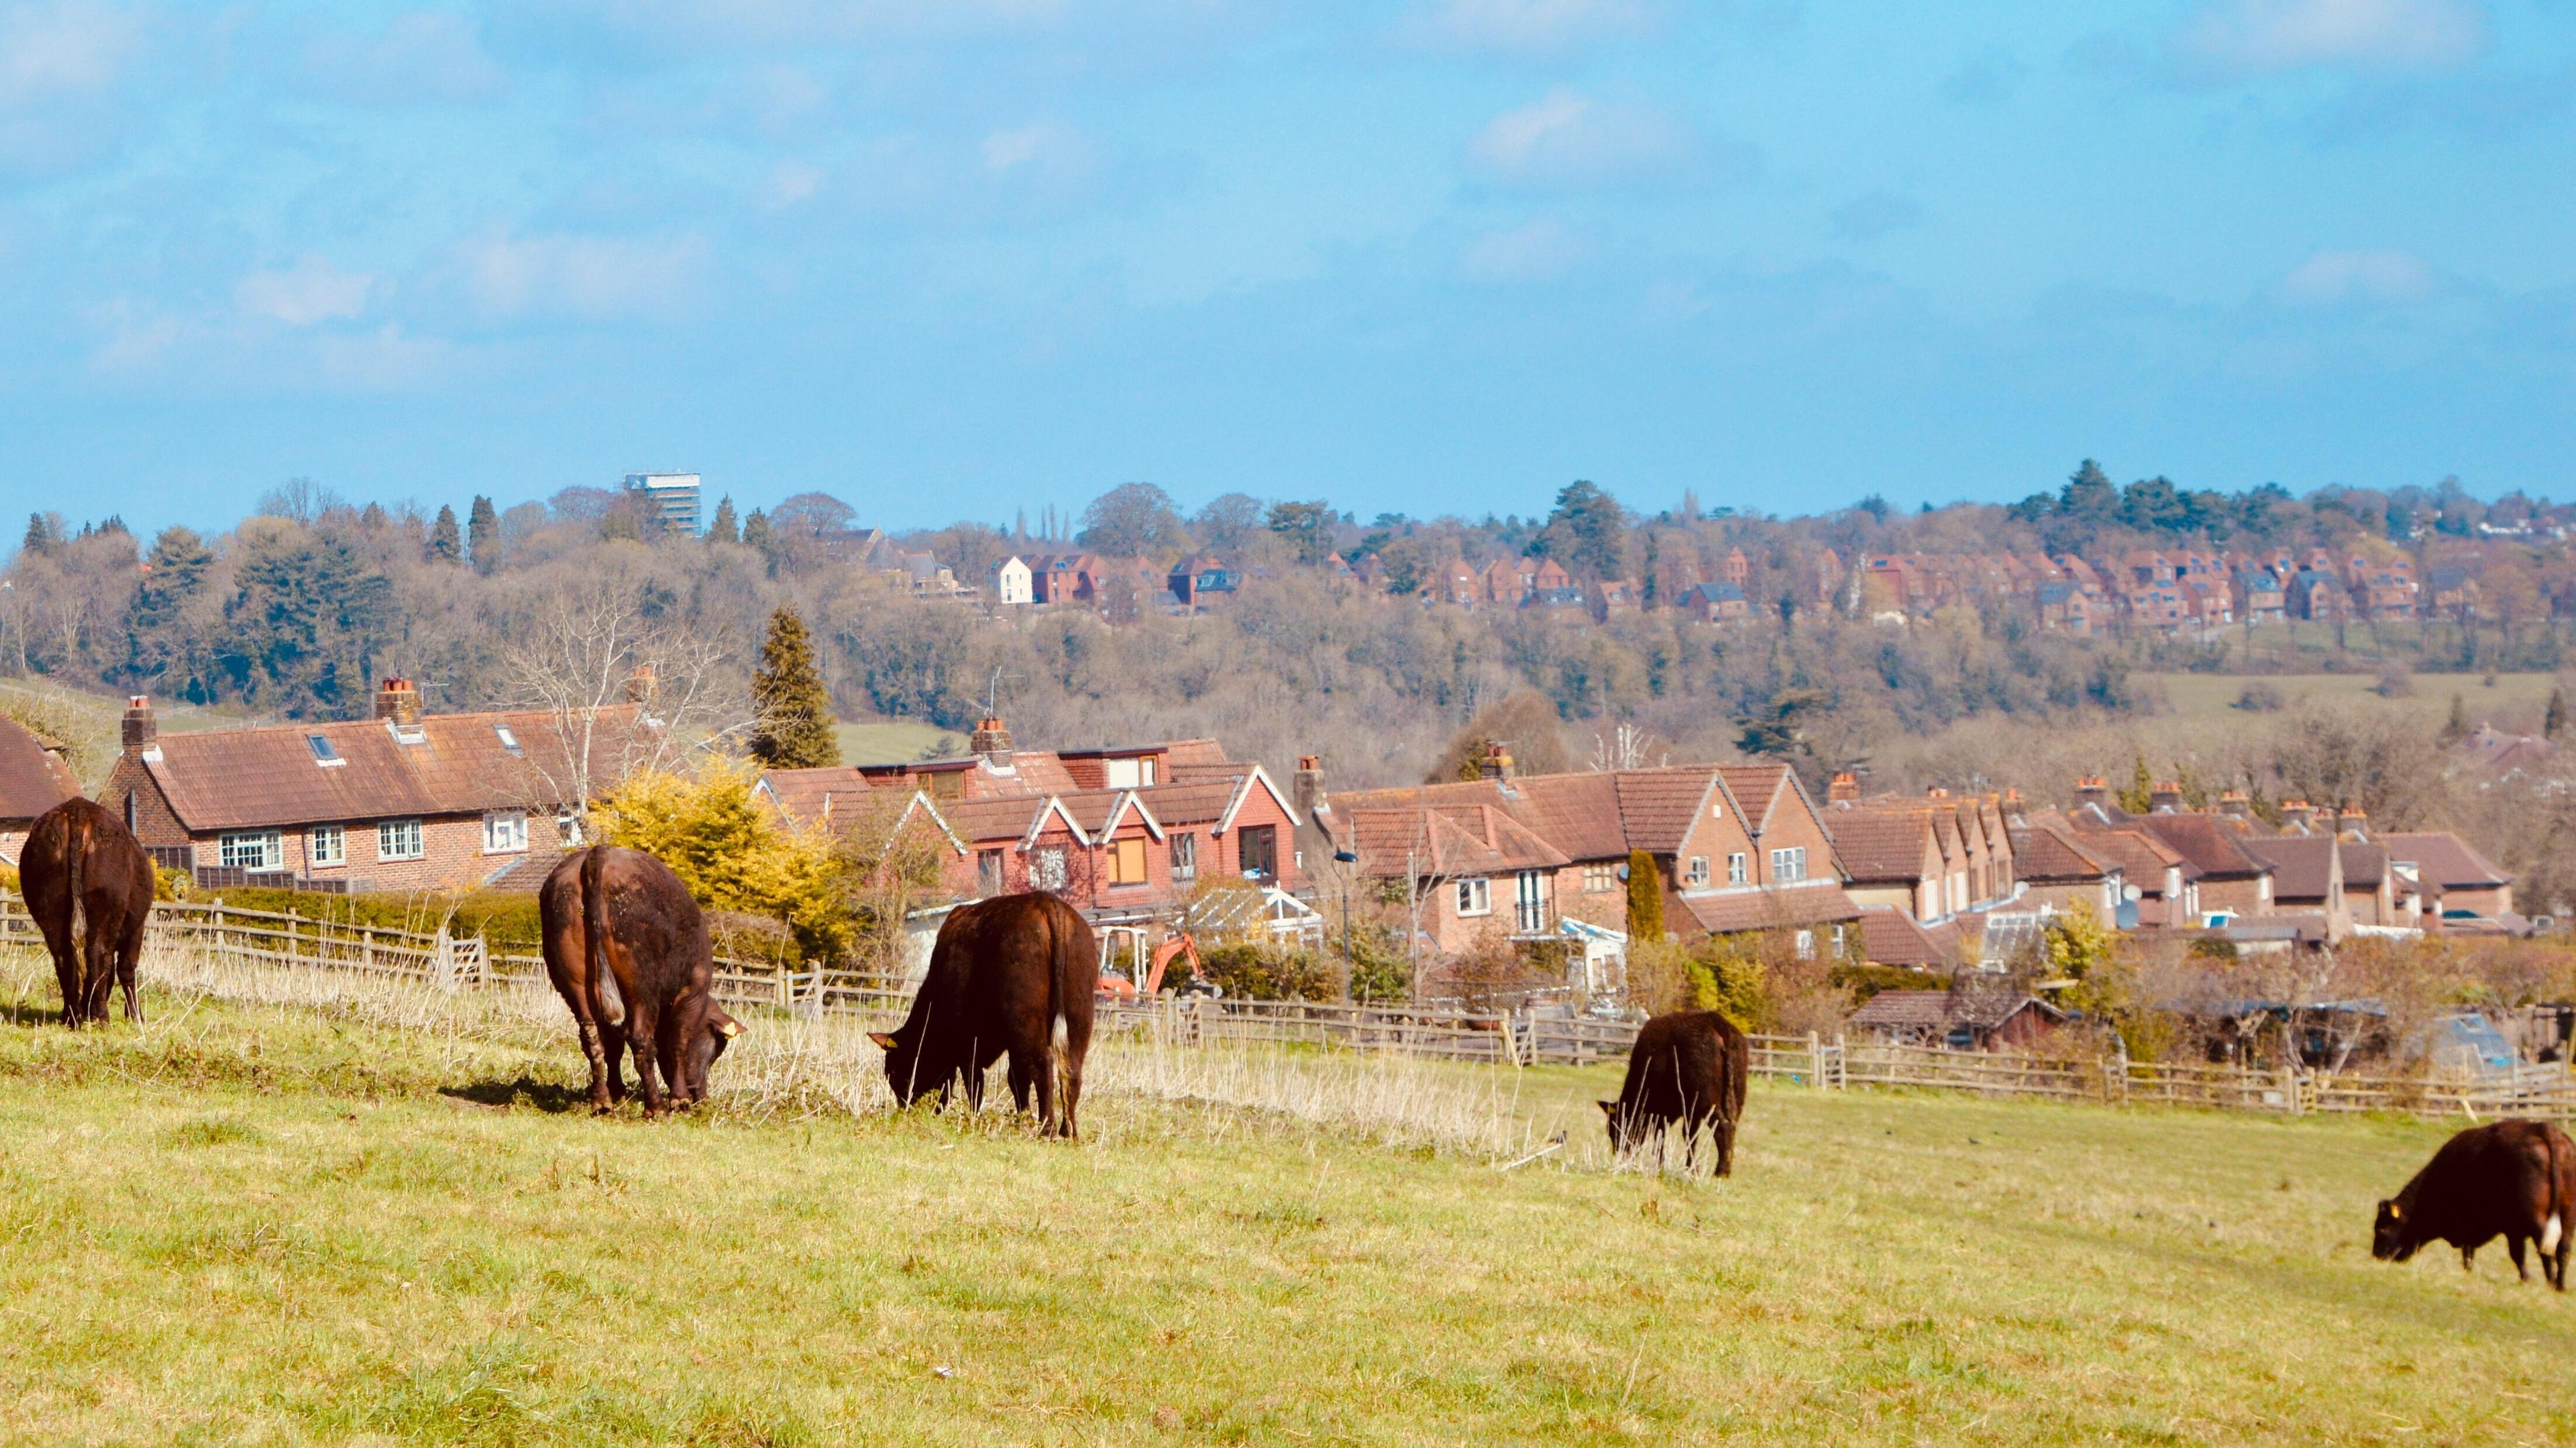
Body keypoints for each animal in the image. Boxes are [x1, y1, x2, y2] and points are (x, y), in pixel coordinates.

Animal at [17, 788, 156, 1025]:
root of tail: (77, 811)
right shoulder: (137, 928)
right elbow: (126, 969)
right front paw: (136, 1016)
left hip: (50, 911)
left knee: (63, 959)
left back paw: (71, 1016)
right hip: (104, 913)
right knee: (99, 955)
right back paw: (100, 1017)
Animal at [538, 840, 741, 1107]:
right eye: (716, 1050)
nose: (700, 1095)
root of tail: (599, 852)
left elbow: (614, 1048)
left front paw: (618, 1092)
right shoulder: (693, 990)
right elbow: (678, 1042)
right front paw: (680, 1100)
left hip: (575, 981)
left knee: (593, 1038)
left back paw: (602, 1102)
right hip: (640, 984)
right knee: (641, 1040)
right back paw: (655, 1107)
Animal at [870, 886, 1092, 1133]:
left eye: (897, 1074)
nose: (906, 1110)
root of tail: (1045, 901)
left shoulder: (968, 1045)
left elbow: (975, 1084)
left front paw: (976, 1119)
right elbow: (1016, 1078)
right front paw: (1021, 1118)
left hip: (1027, 1024)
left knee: (1043, 1066)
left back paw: (1047, 1129)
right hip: (1077, 1018)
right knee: (1071, 1071)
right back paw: (1069, 1132)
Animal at [1597, 1005, 1762, 1174]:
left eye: (1614, 1128)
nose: (1620, 1155)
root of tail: (1718, 1023)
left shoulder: (1665, 1109)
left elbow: (1664, 1133)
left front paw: (1665, 1165)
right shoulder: (1689, 1111)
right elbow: (1691, 1134)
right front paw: (1690, 1168)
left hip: (1707, 1100)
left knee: (1722, 1126)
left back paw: (1721, 1171)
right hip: (1736, 1094)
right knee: (1732, 1125)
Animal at [2369, 1107, 2576, 1278]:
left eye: (2381, 1229)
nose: (2376, 1256)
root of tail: (2542, 1128)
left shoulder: (2495, 1227)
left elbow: (2507, 1255)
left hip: (2536, 1219)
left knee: (2546, 1248)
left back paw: (2550, 1282)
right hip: (2567, 1215)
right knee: (2563, 1248)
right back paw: (2559, 1286)